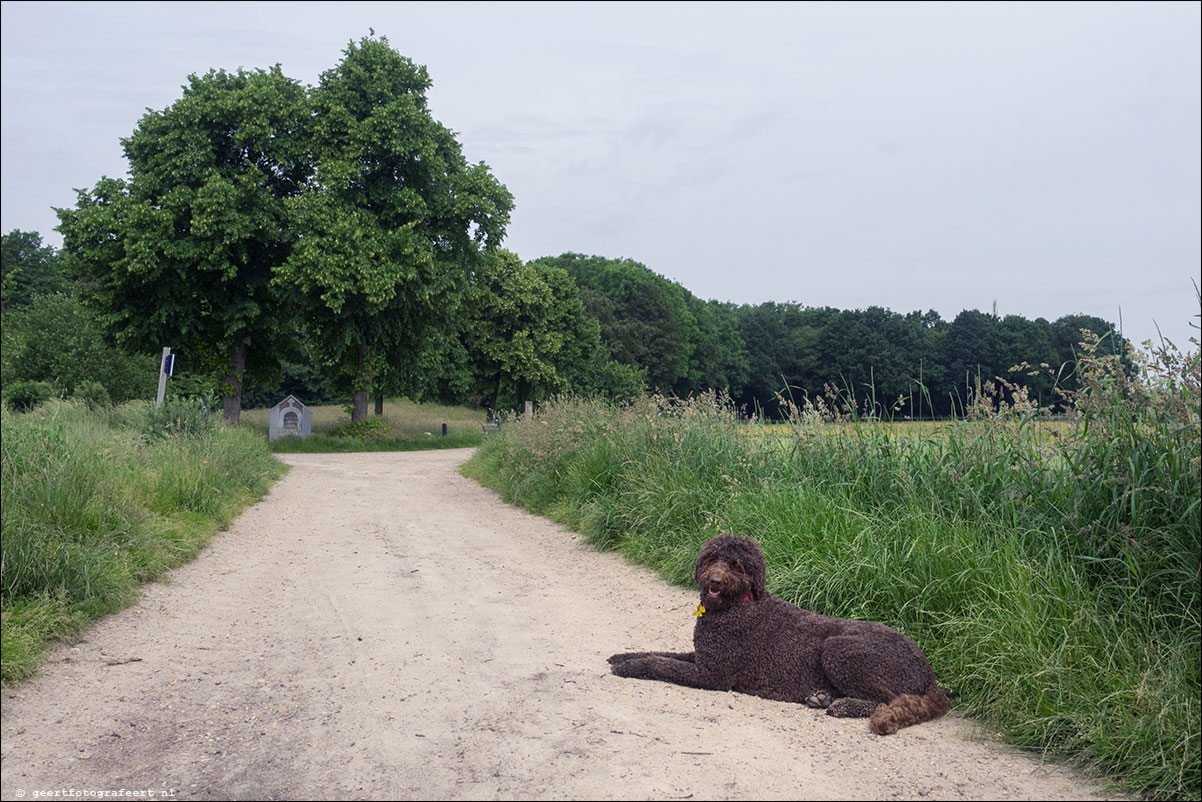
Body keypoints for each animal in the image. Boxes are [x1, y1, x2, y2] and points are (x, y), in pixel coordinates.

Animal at [610, 533, 947, 735]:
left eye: (737, 565)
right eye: (710, 558)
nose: (715, 581)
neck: (737, 604)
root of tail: (929, 671)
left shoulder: (712, 675)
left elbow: (661, 664)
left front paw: (629, 666)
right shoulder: (702, 656)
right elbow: (662, 653)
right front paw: (623, 655)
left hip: (838, 648)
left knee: (887, 699)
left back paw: (841, 705)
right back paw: (822, 697)